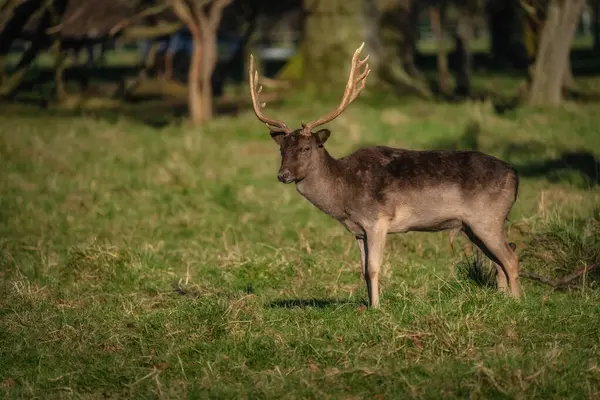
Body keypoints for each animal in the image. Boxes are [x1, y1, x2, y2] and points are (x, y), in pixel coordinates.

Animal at [247, 43, 520, 308]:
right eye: (282, 149)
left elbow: (373, 268)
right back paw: (503, 298)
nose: (283, 175)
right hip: (472, 226)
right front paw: (369, 305)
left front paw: (377, 309)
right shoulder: (357, 230)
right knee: (500, 259)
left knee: (510, 257)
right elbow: (362, 270)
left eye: (306, 148)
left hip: (487, 218)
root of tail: (515, 176)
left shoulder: (377, 220)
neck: (344, 196)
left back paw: (517, 302)